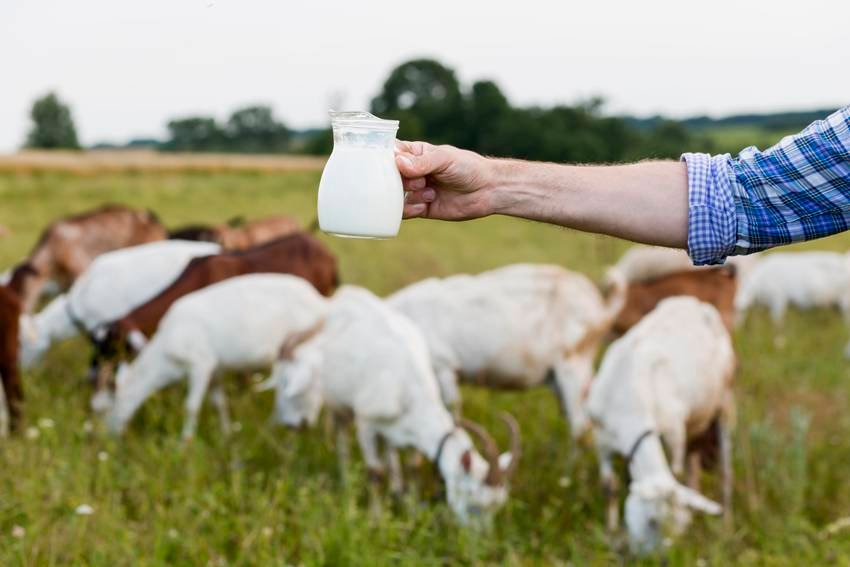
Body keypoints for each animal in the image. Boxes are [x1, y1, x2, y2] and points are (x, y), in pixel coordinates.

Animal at [106, 274, 328, 440]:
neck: (164, 358)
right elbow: (219, 404)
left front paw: (185, 442)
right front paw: (226, 435)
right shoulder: (215, 371)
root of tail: (319, 301)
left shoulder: (201, 363)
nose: (108, 434)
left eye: (113, 402)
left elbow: (191, 406)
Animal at [270, 285, 520, 525]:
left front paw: (411, 509)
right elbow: (374, 472)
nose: (478, 539)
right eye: (472, 501)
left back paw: (396, 489)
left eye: (497, 506)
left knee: (389, 450)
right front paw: (376, 519)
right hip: (337, 400)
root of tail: (345, 295)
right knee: (342, 437)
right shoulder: (366, 422)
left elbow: (413, 466)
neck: (408, 386)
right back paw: (347, 480)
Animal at [587, 296, 735, 554]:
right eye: (652, 522)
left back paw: (726, 525)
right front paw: (610, 531)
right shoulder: (601, 437)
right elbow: (609, 486)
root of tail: (693, 303)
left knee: (725, 469)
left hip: (724, 400)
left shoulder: (673, 434)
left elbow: (675, 471)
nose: (659, 559)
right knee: (694, 462)